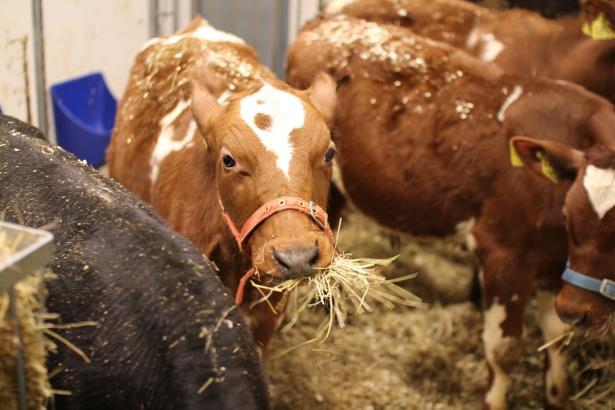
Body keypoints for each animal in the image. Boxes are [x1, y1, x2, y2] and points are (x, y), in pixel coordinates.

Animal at [288, 15, 615, 406]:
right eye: (569, 214)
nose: (578, 312)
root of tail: (327, 20)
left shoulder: (554, 266)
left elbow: (556, 340)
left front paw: (555, 395)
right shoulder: (504, 255)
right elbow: (503, 350)